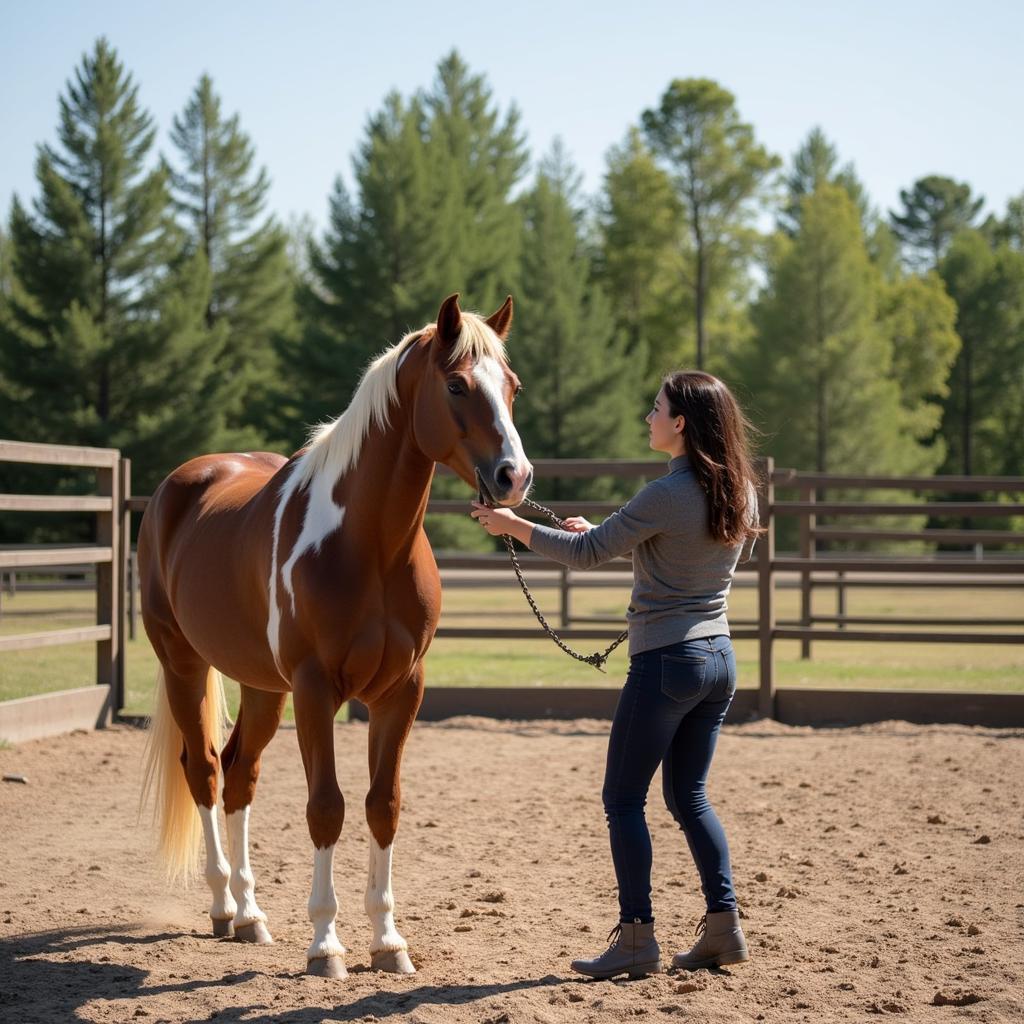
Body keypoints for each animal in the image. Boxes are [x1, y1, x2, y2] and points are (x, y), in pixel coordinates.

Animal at [139, 294, 532, 974]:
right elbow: (327, 808)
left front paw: (388, 941)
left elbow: (383, 806)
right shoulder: (316, 688)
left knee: (241, 774)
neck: (369, 545)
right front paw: (326, 943)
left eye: (511, 386)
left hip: (263, 687)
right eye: (456, 384)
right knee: (207, 771)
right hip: (184, 665)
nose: (515, 476)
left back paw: (252, 915)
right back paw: (223, 906)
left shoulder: (401, 691)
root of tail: (178, 485)